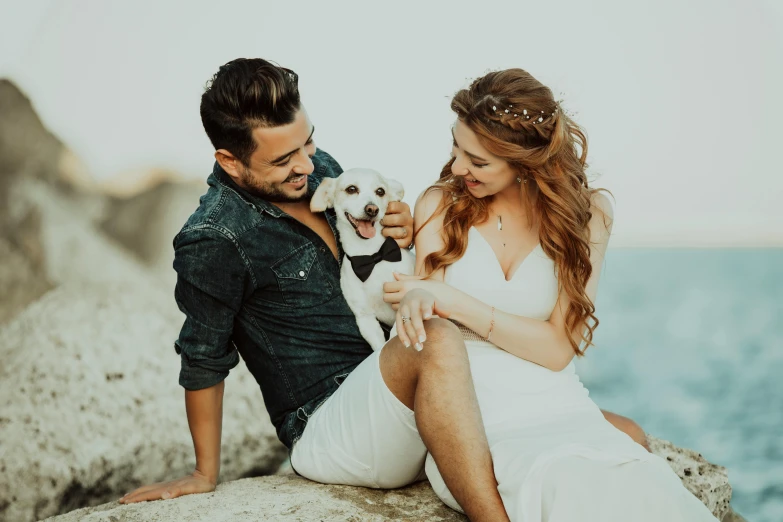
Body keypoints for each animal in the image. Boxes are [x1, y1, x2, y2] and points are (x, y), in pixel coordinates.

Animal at [310, 167, 416, 350]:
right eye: (351, 189)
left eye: (380, 191)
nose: (372, 209)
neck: (372, 256)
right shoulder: (365, 319)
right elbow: (380, 347)